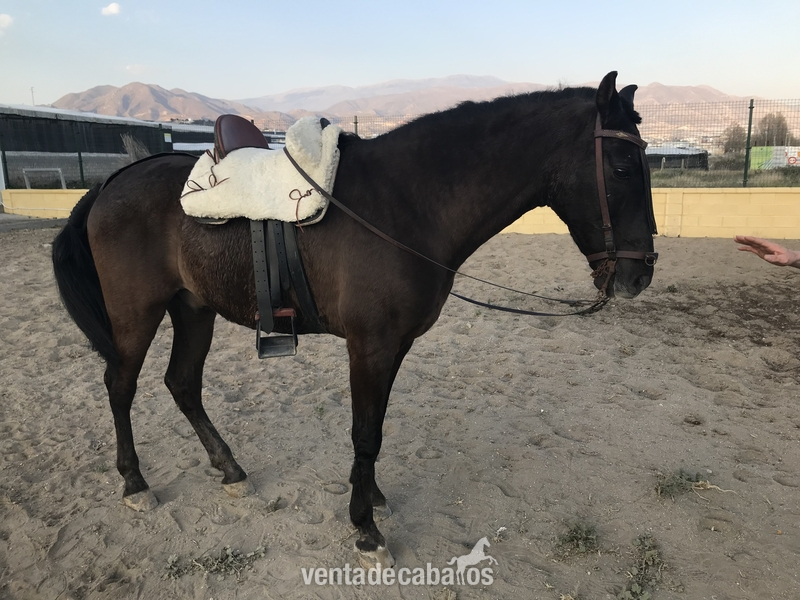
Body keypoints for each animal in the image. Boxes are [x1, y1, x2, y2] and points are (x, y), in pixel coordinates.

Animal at [51, 71, 656, 568]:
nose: (639, 274)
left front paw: (371, 498)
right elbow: (365, 431)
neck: (407, 202)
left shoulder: (394, 346)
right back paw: (135, 483)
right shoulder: (370, 345)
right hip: (137, 313)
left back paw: (230, 470)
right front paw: (365, 529)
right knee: (120, 385)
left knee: (182, 384)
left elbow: (377, 427)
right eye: (623, 166)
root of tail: (113, 182)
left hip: (194, 308)